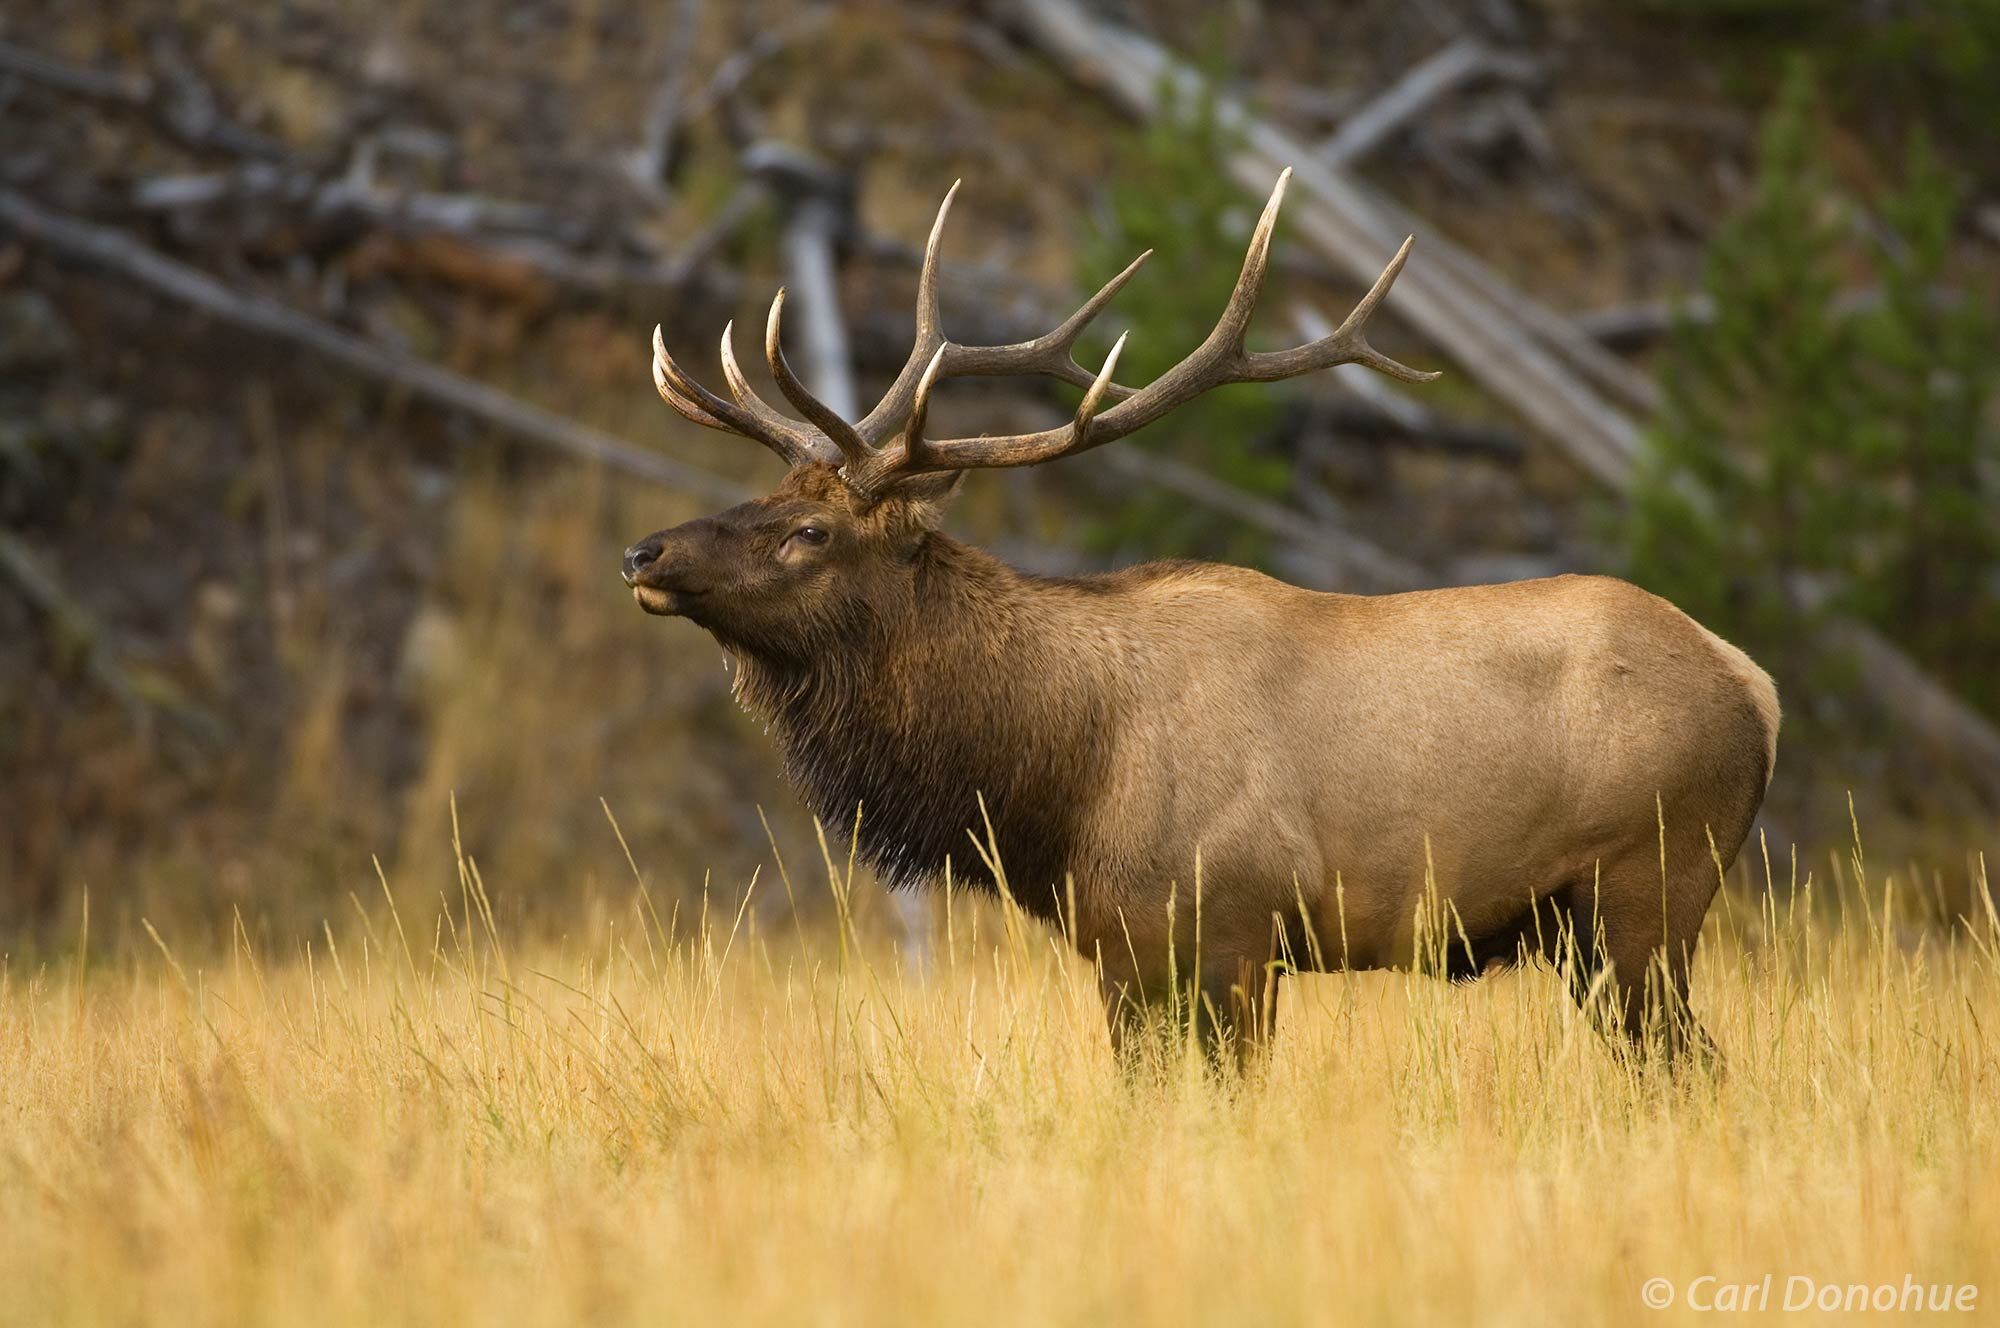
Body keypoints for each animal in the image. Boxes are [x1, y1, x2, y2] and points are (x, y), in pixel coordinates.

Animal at [624, 169, 1784, 1056]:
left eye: (809, 532)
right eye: (767, 496)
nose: (644, 550)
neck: (1055, 777)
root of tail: (1756, 685)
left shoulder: (1231, 927)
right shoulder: (1121, 952)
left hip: (1648, 890)